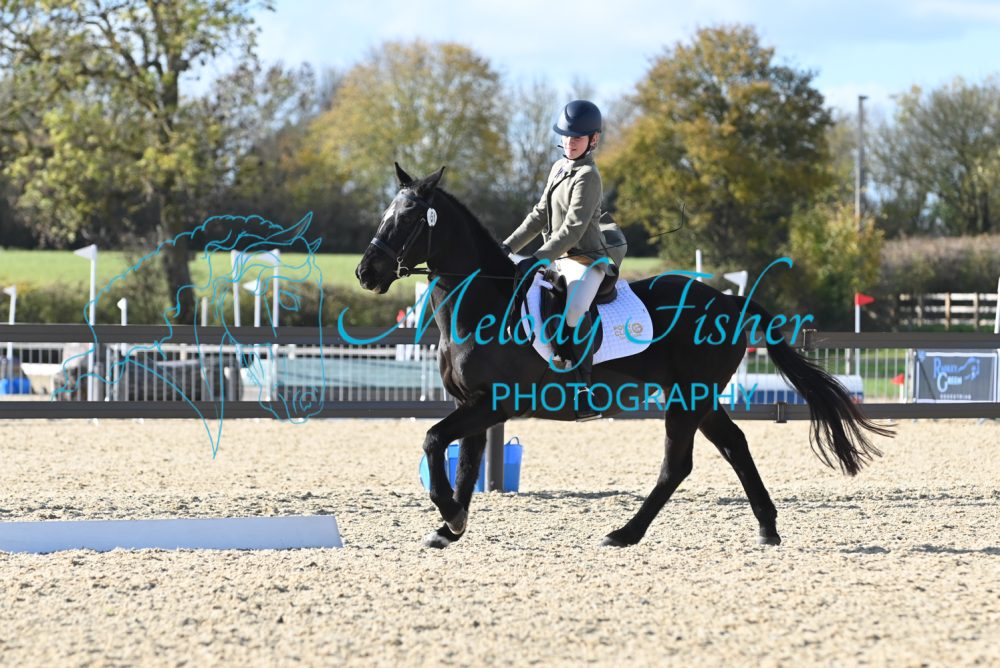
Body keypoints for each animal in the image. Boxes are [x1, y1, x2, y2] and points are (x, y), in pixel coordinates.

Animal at [354, 164, 893, 548]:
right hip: (699, 397)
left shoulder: (495, 403)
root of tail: (728, 302)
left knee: (678, 465)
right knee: (735, 445)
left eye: (408, 219)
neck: (484, 301)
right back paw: (767, 528)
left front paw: (448, 514)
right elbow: (464, 462)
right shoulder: (473, 403)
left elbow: (432, 440)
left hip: (687, 398)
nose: (365, 272)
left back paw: (624, 534)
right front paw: (451, 526)